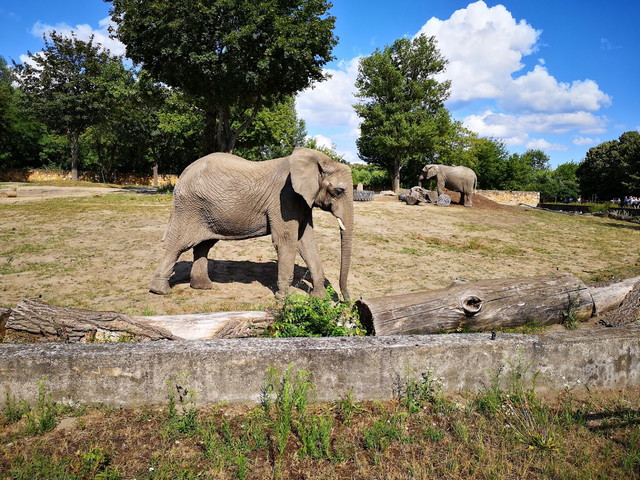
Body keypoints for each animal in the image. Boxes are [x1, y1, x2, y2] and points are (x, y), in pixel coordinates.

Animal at [149, 148, 356, 300]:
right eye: (338, 191)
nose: (347, 301)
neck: (319, 161)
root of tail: (183, 173)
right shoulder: (284, 199)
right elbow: (286, 242)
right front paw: (283, 298)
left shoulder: (303, 201)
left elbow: (307, 242)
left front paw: (319, 298)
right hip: (189, 207)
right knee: (178, 245)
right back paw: (160, 291)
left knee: (203, 245)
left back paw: (203, 287)